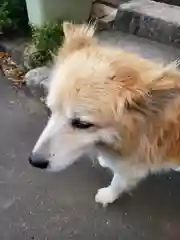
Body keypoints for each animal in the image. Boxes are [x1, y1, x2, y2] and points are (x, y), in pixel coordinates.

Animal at [29, 21, 180, 207]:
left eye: (83, 124)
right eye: (51, 110)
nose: (34, 161)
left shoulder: (134, 163)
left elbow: (119, 180)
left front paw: (108, 195)